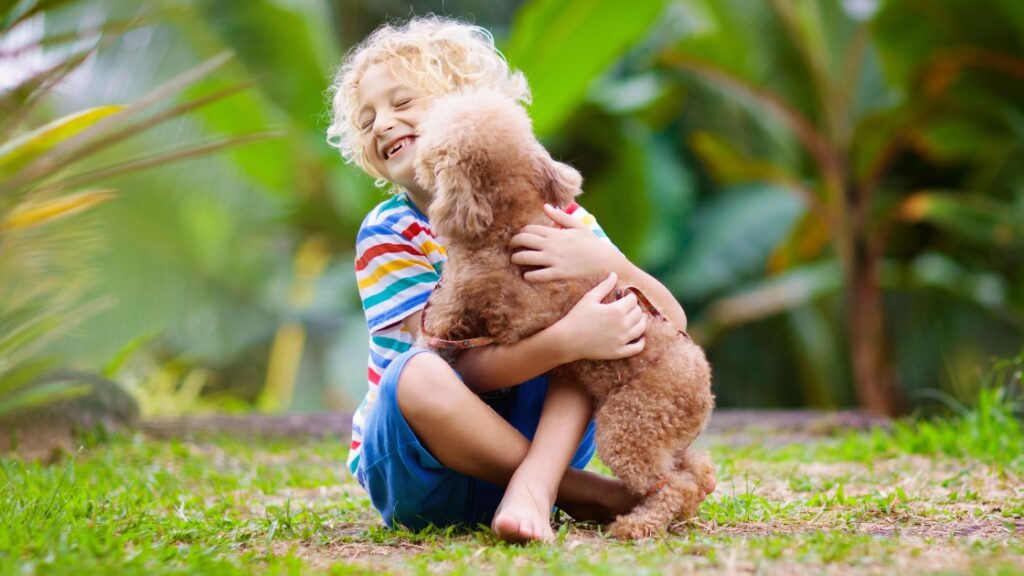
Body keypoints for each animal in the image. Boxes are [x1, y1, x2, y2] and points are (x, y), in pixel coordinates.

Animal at [411, 89, 716, 537]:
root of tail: (704, 389)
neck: (508, 221)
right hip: (665, 434)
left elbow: (435, 331)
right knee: (696, 473)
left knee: (671, 484)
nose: (413, 147)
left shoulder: (458, 304)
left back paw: (635, 525)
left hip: (629, 423)